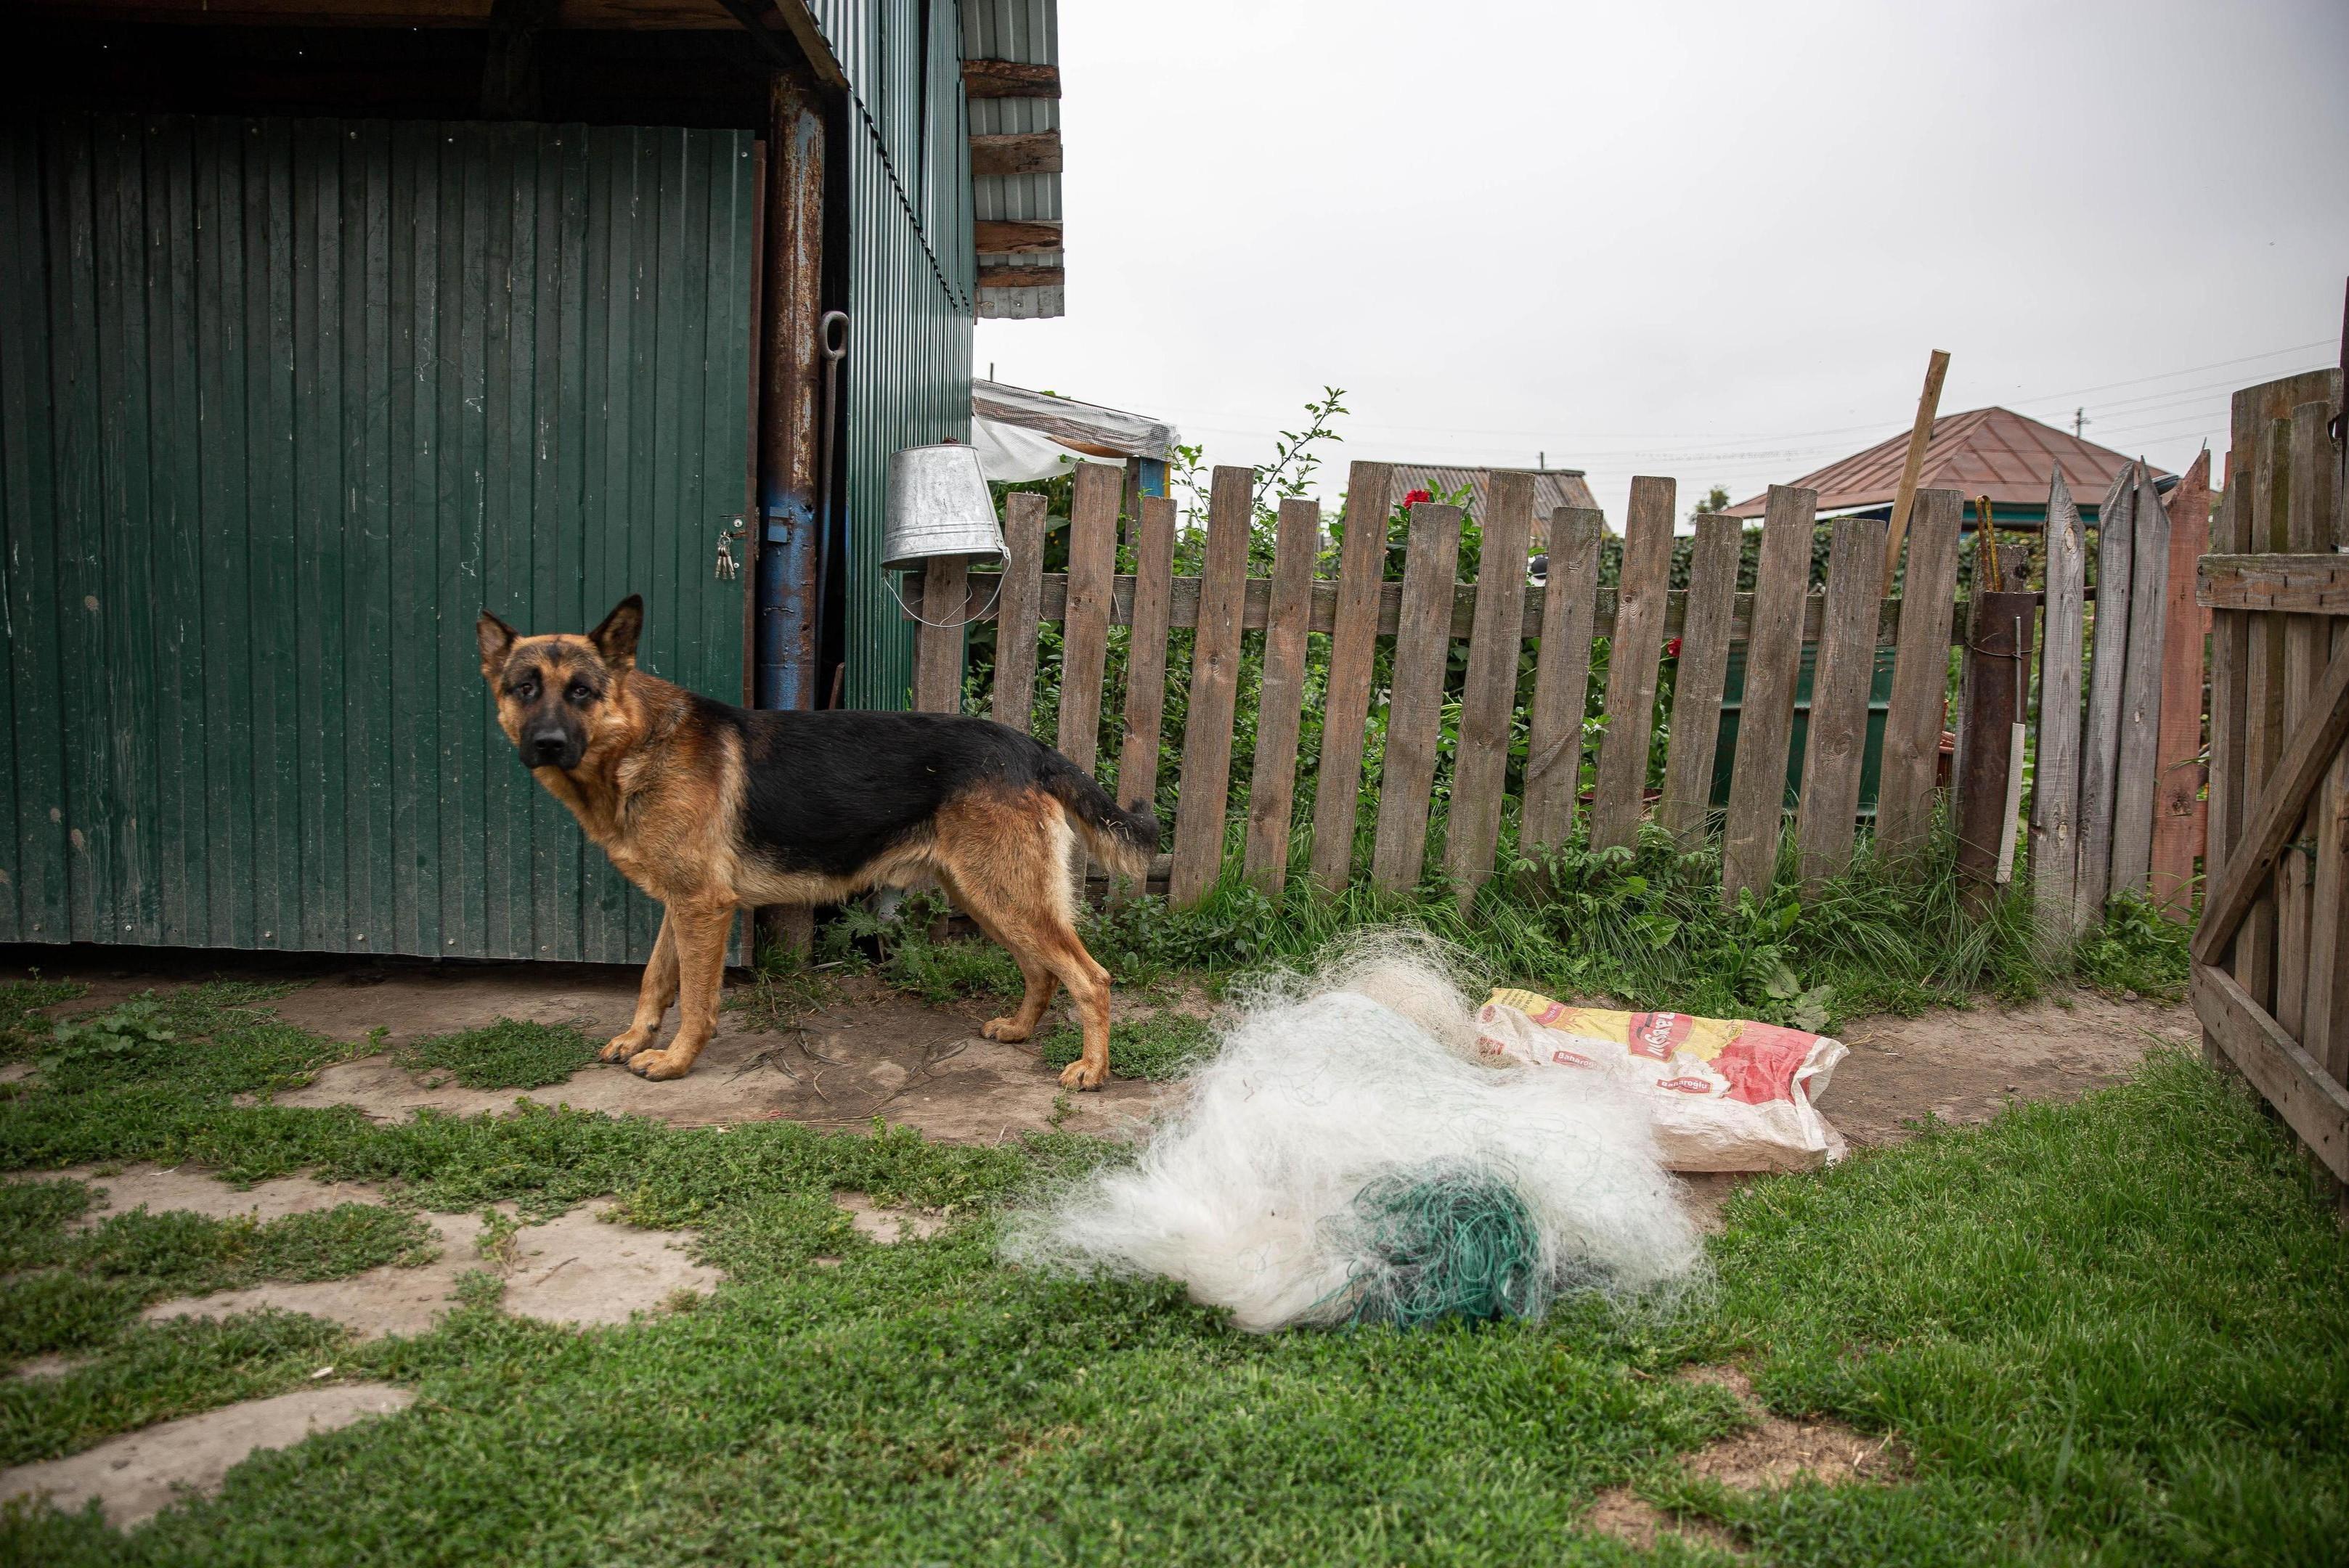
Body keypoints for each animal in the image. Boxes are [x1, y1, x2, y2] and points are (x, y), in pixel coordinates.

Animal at [474, 594, 1155, 1084]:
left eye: (581, 692)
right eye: (524, 688)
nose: (546, 745)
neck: (639, 741)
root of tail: (1030, 748)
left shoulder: (704, 907)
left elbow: (695, 997)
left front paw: (674, 1061)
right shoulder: (681, 904)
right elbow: (654, 980)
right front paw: (637, 1039)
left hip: (1004, 896)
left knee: (1090, 978)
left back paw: (1092, 1070)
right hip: (986, 897)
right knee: (1042, 971)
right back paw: (1018, 1030)